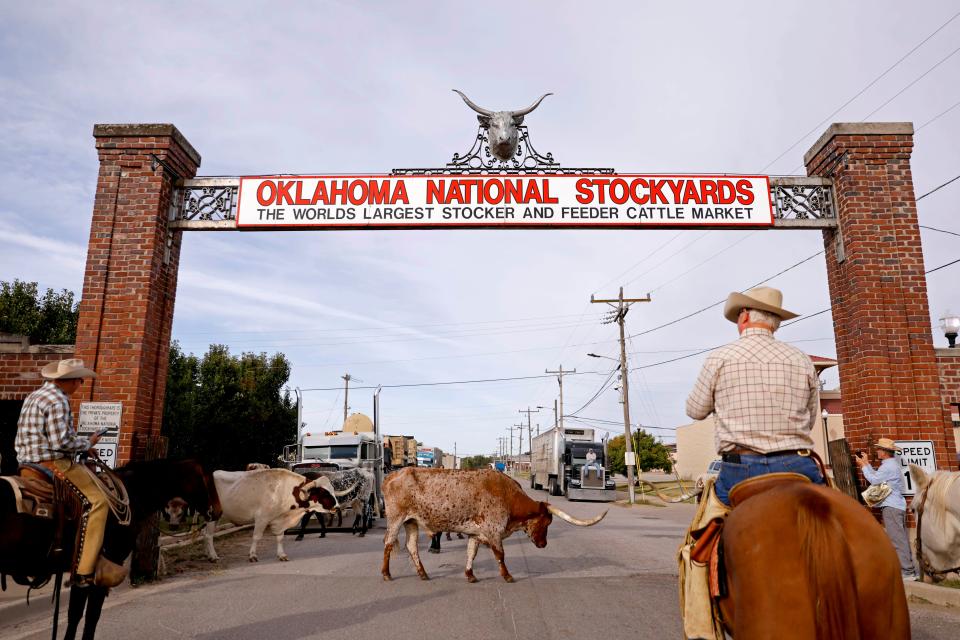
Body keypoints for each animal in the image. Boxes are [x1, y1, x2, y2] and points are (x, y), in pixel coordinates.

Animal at [0, 458, 221, 640]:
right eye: (207, 479)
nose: (218, 511)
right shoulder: (103, 569)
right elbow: (90, 616)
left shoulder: (81, 574)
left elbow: (75, 615)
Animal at [208, 468, 344, 564]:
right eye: (324, 493)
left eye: (332, 490)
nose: (337, 507)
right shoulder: (262, 518)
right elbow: (256, 537)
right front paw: (252, 555)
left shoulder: (280, 520)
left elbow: (279, 538)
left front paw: (281, 555)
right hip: (212, 515)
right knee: (208, 535)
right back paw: (213, 556)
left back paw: (209, 555)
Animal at [378, 468, 604, 584]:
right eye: (546, 522)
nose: (543, 544)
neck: (509, 496)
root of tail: (391, 476)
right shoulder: (494, 532)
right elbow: (500, 555)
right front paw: (507, 576)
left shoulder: (476, 533)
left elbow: (471, 553)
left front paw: (470, 575)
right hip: (396, 518)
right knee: (388, 543)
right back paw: (386, 573)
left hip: (411, 522)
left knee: (411, 546)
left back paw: (423, 573)